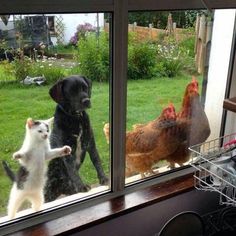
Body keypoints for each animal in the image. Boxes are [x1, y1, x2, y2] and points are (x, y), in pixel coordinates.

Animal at [44, 74, 109, 202]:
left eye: (85, 87)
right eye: (72, 91)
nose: (86, 101)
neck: (76, 118)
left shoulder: (90, 144)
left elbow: (97, 161)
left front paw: (103, 178)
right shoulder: (67, 150)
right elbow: (73, 170)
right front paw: (81, 186)